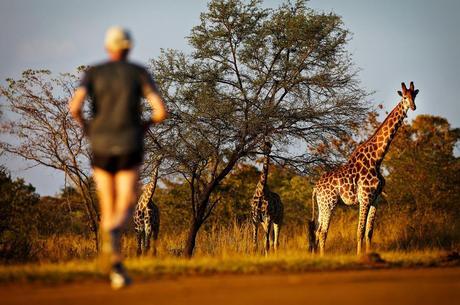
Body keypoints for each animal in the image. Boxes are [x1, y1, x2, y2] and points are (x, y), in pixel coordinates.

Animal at [310, 82, 420, 255]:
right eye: (404, 97)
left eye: (414, 96)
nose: (413, 107)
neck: (377, 158)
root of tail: (315, 187)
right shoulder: (365, 197)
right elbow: (360, 231)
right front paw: (359, 255)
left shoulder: (376, 198)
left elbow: (369, 231)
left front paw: (369, 254)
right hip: (329, 203)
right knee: (322, 232)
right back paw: (322, 256)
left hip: (322, 204)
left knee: (317, 231)